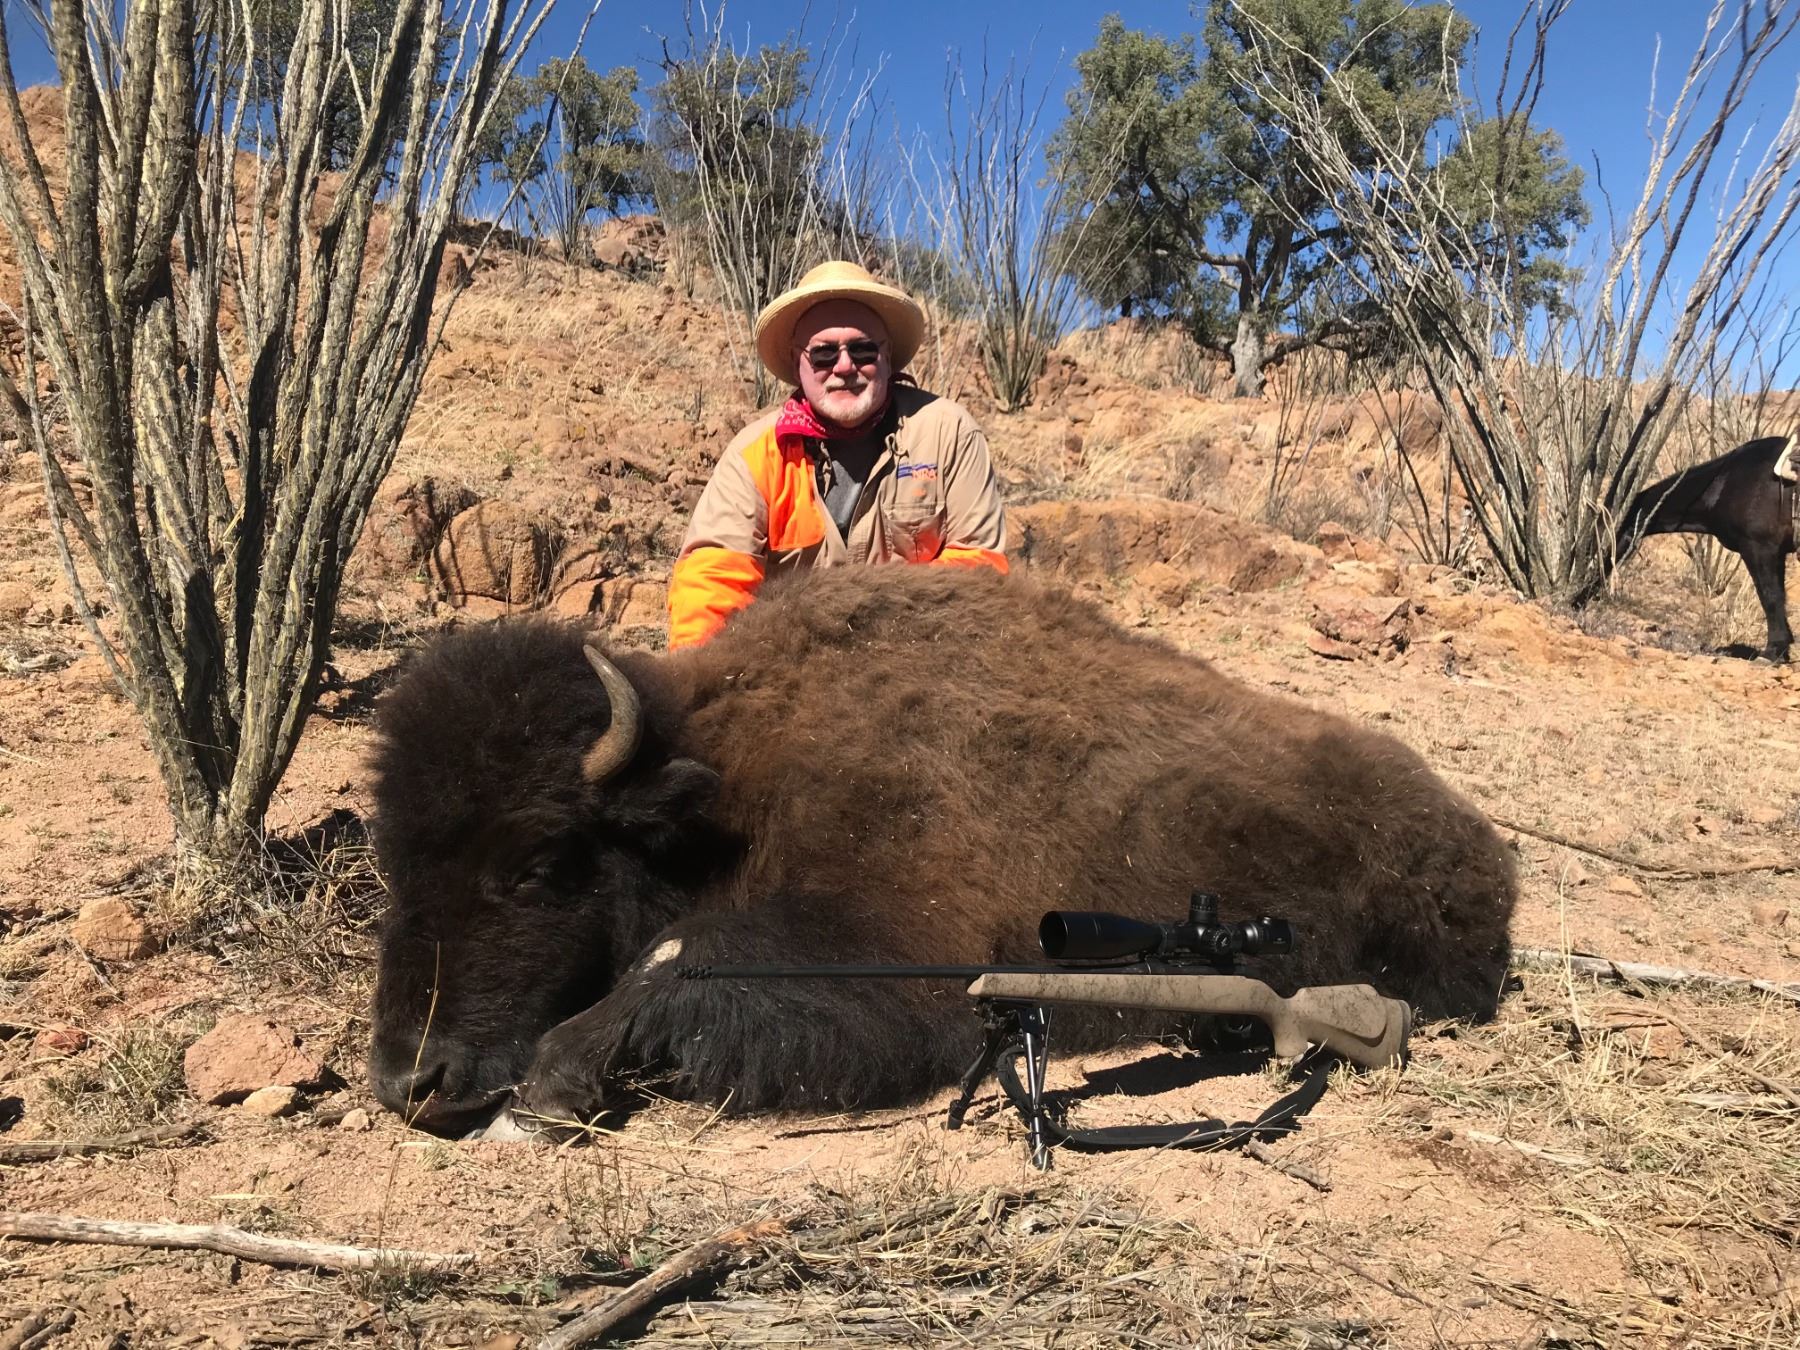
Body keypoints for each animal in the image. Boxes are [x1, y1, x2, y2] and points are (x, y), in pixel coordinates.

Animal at [367, 566, 1516, 1134]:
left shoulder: (887, 946)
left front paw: (553, 1088)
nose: (411, 1080)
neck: (730, 766)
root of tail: (1488, 856)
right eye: (395, 861)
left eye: (536, 861)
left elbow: (678, 969)